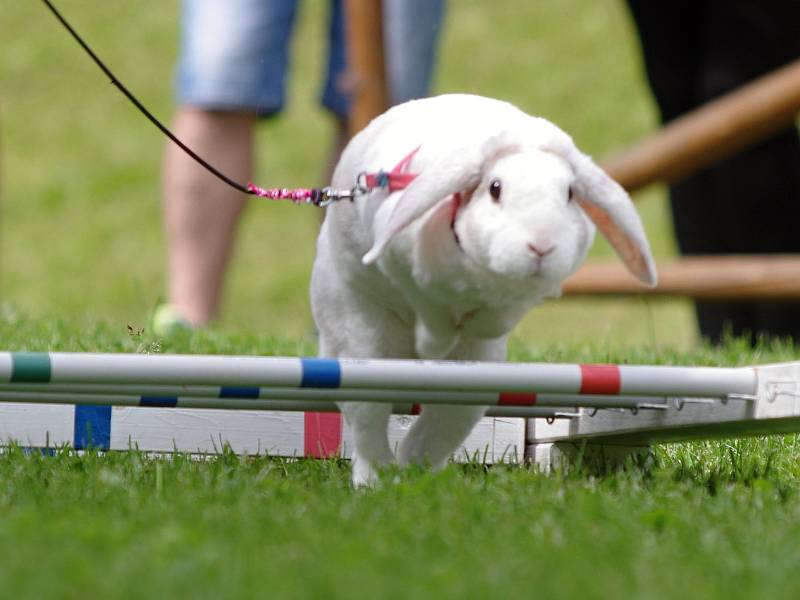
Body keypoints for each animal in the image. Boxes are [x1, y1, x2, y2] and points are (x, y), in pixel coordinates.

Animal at [310, 95, 652, 488]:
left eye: (569, 194)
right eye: (495, 188)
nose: (541, 245)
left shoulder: (516, 301)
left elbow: (495, 319)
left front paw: (466, 330)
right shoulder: (406, 272)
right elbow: (428, 307)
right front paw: (435, 342)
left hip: (473, 386)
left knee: (442, 424)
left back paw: (415, 470)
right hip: (359, 344)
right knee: (367, 420)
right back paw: (375, 479)